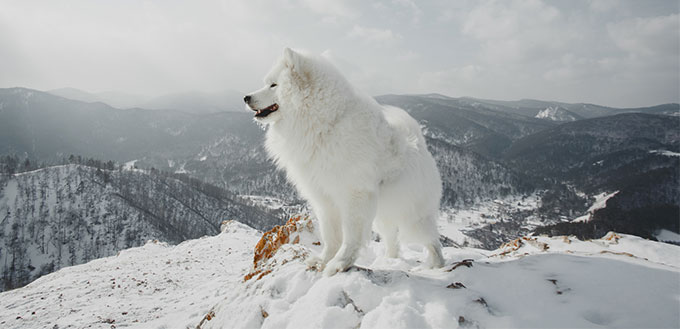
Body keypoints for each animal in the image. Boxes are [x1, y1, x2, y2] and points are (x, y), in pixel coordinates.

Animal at [246, 48, 446, 274]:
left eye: (273, 85)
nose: (246, 97)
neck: (325, 124)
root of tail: (420, 144)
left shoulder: (354, 195)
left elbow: (351, 236)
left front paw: (340, 263)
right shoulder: (324, 199)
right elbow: (331, 236)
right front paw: (323, 261)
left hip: (412, 216)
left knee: (432, 241)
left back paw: (437, 267)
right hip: (384, 214)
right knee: (392, 240)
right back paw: (388, 261)